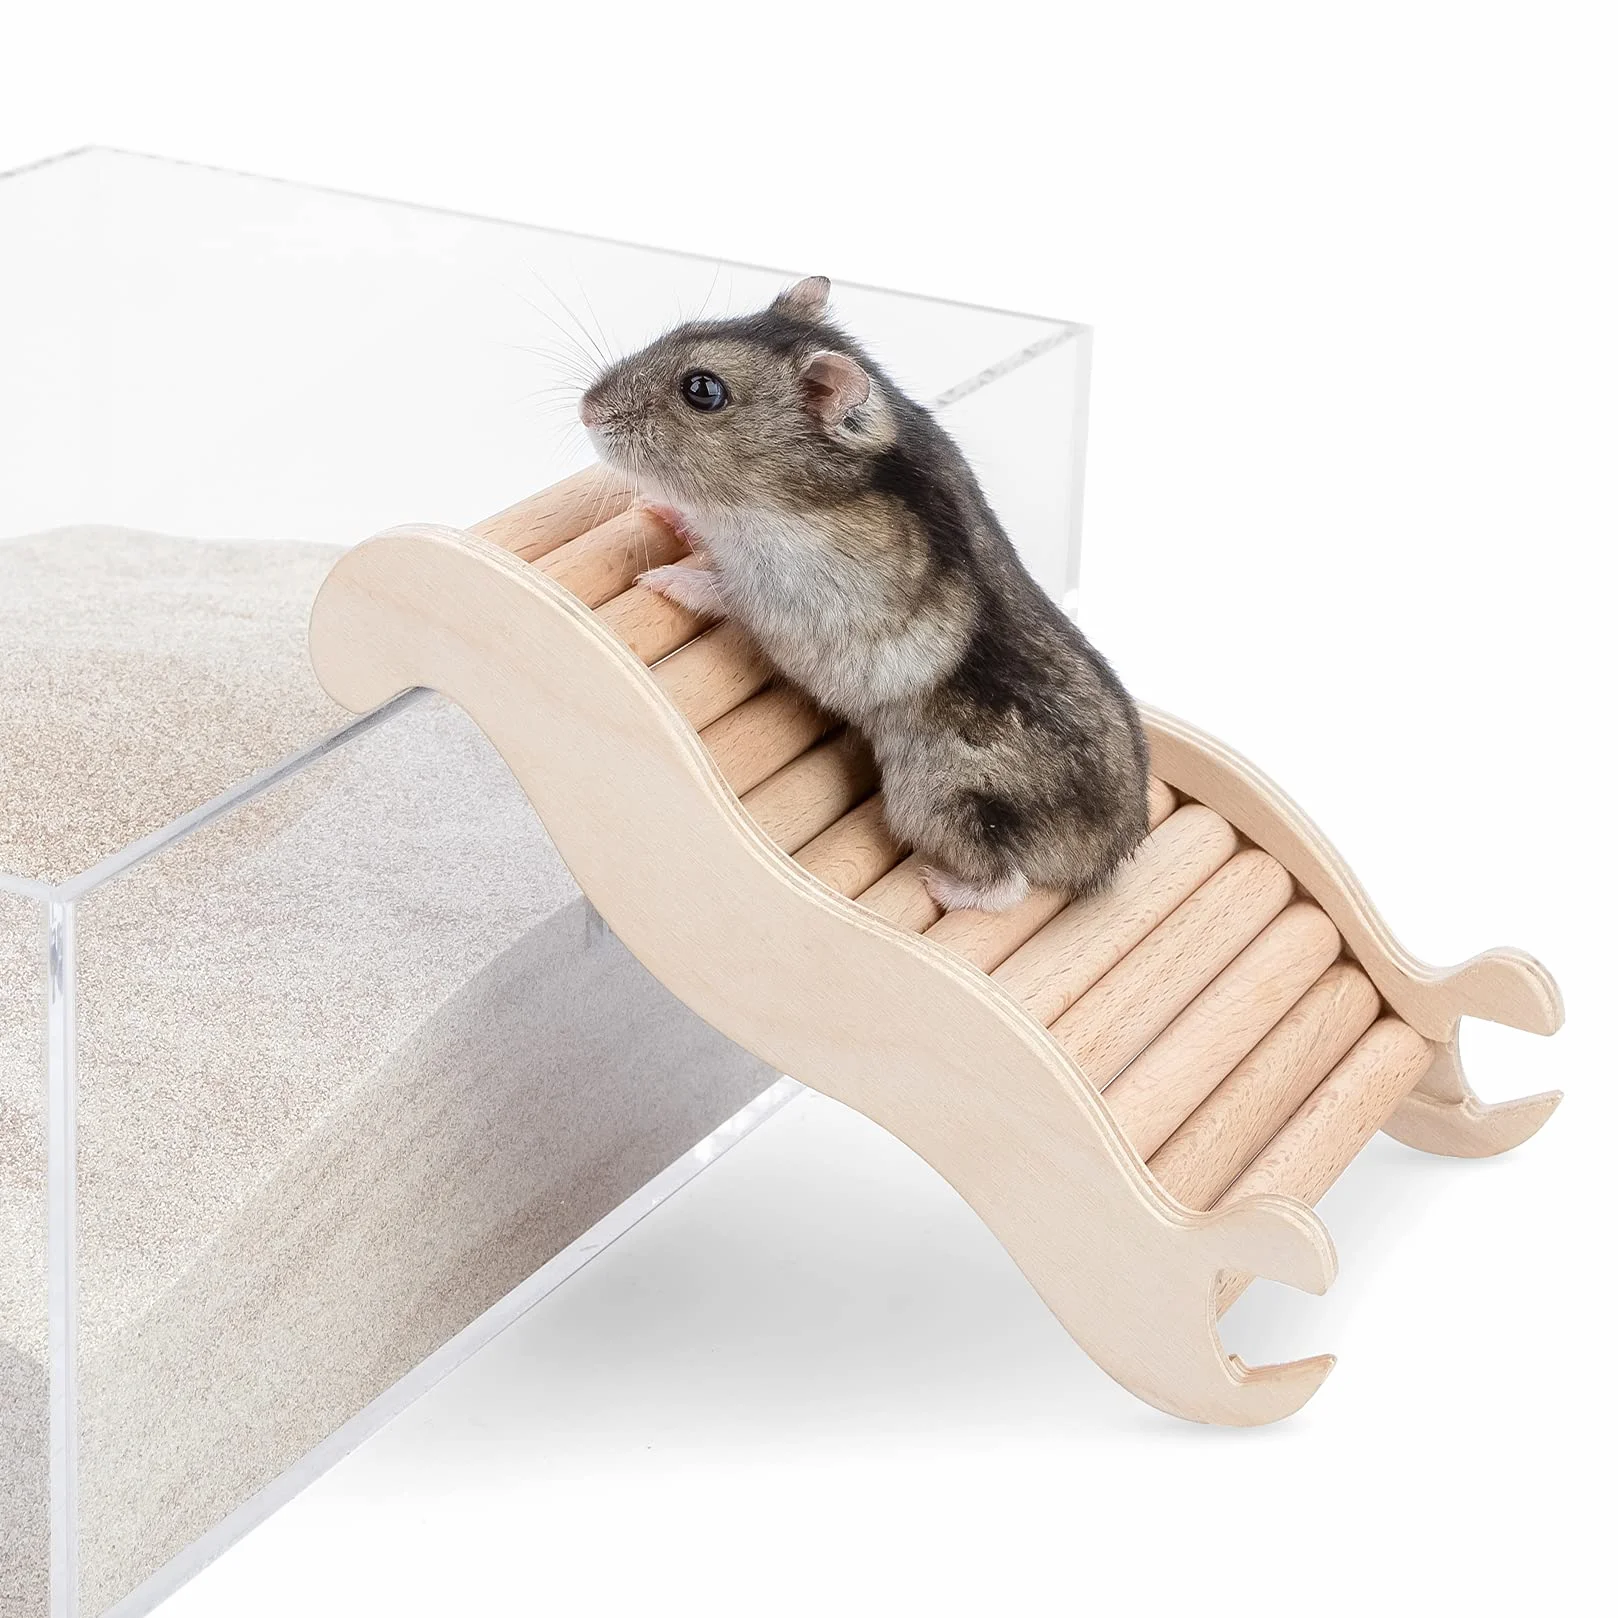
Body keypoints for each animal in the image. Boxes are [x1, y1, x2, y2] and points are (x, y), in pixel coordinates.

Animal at [578, 275, 1150, 912]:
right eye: (679, 330)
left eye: (702, 390)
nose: (585, 408)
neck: (777, 496)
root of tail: (1107, 859)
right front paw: (661, 511)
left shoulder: (786, 596)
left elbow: (723, 590)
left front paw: (656, 580)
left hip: (939, 799)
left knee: (1009, 885)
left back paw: (938, 884)